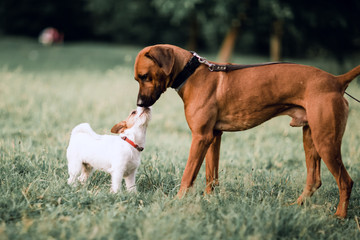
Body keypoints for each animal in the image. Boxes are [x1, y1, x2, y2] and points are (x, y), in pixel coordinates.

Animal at [134, 44, 358, 218]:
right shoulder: (213, 137)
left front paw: (178, 201)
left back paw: (339, 216)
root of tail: (336, 80)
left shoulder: (200, 138)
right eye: (137, 79)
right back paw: (296, 206)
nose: (139, 104)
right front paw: (209, 200)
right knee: (314, 180)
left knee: (346, 181)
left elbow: (188, 175)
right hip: (311, 138)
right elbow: (211, 176)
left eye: (145, 76)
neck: (192, 73)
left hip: (326, 142)